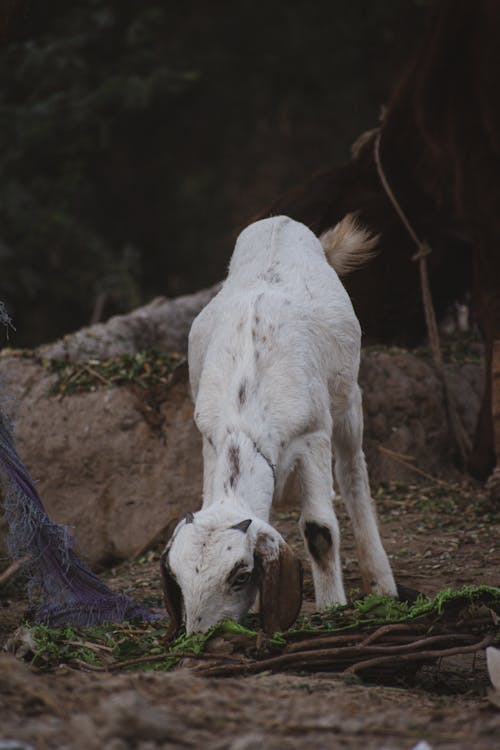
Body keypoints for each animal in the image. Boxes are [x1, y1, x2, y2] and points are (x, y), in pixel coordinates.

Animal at [162, 214, 396, 636]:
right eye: (179, 579)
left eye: (240, 575)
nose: (200, 635)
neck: (245, 417)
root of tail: (280, 222)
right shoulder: (209, 439)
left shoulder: (313, 434)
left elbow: (320, 529)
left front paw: (333, 609)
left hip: (348, 398)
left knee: (353, 471)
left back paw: (382, 582)